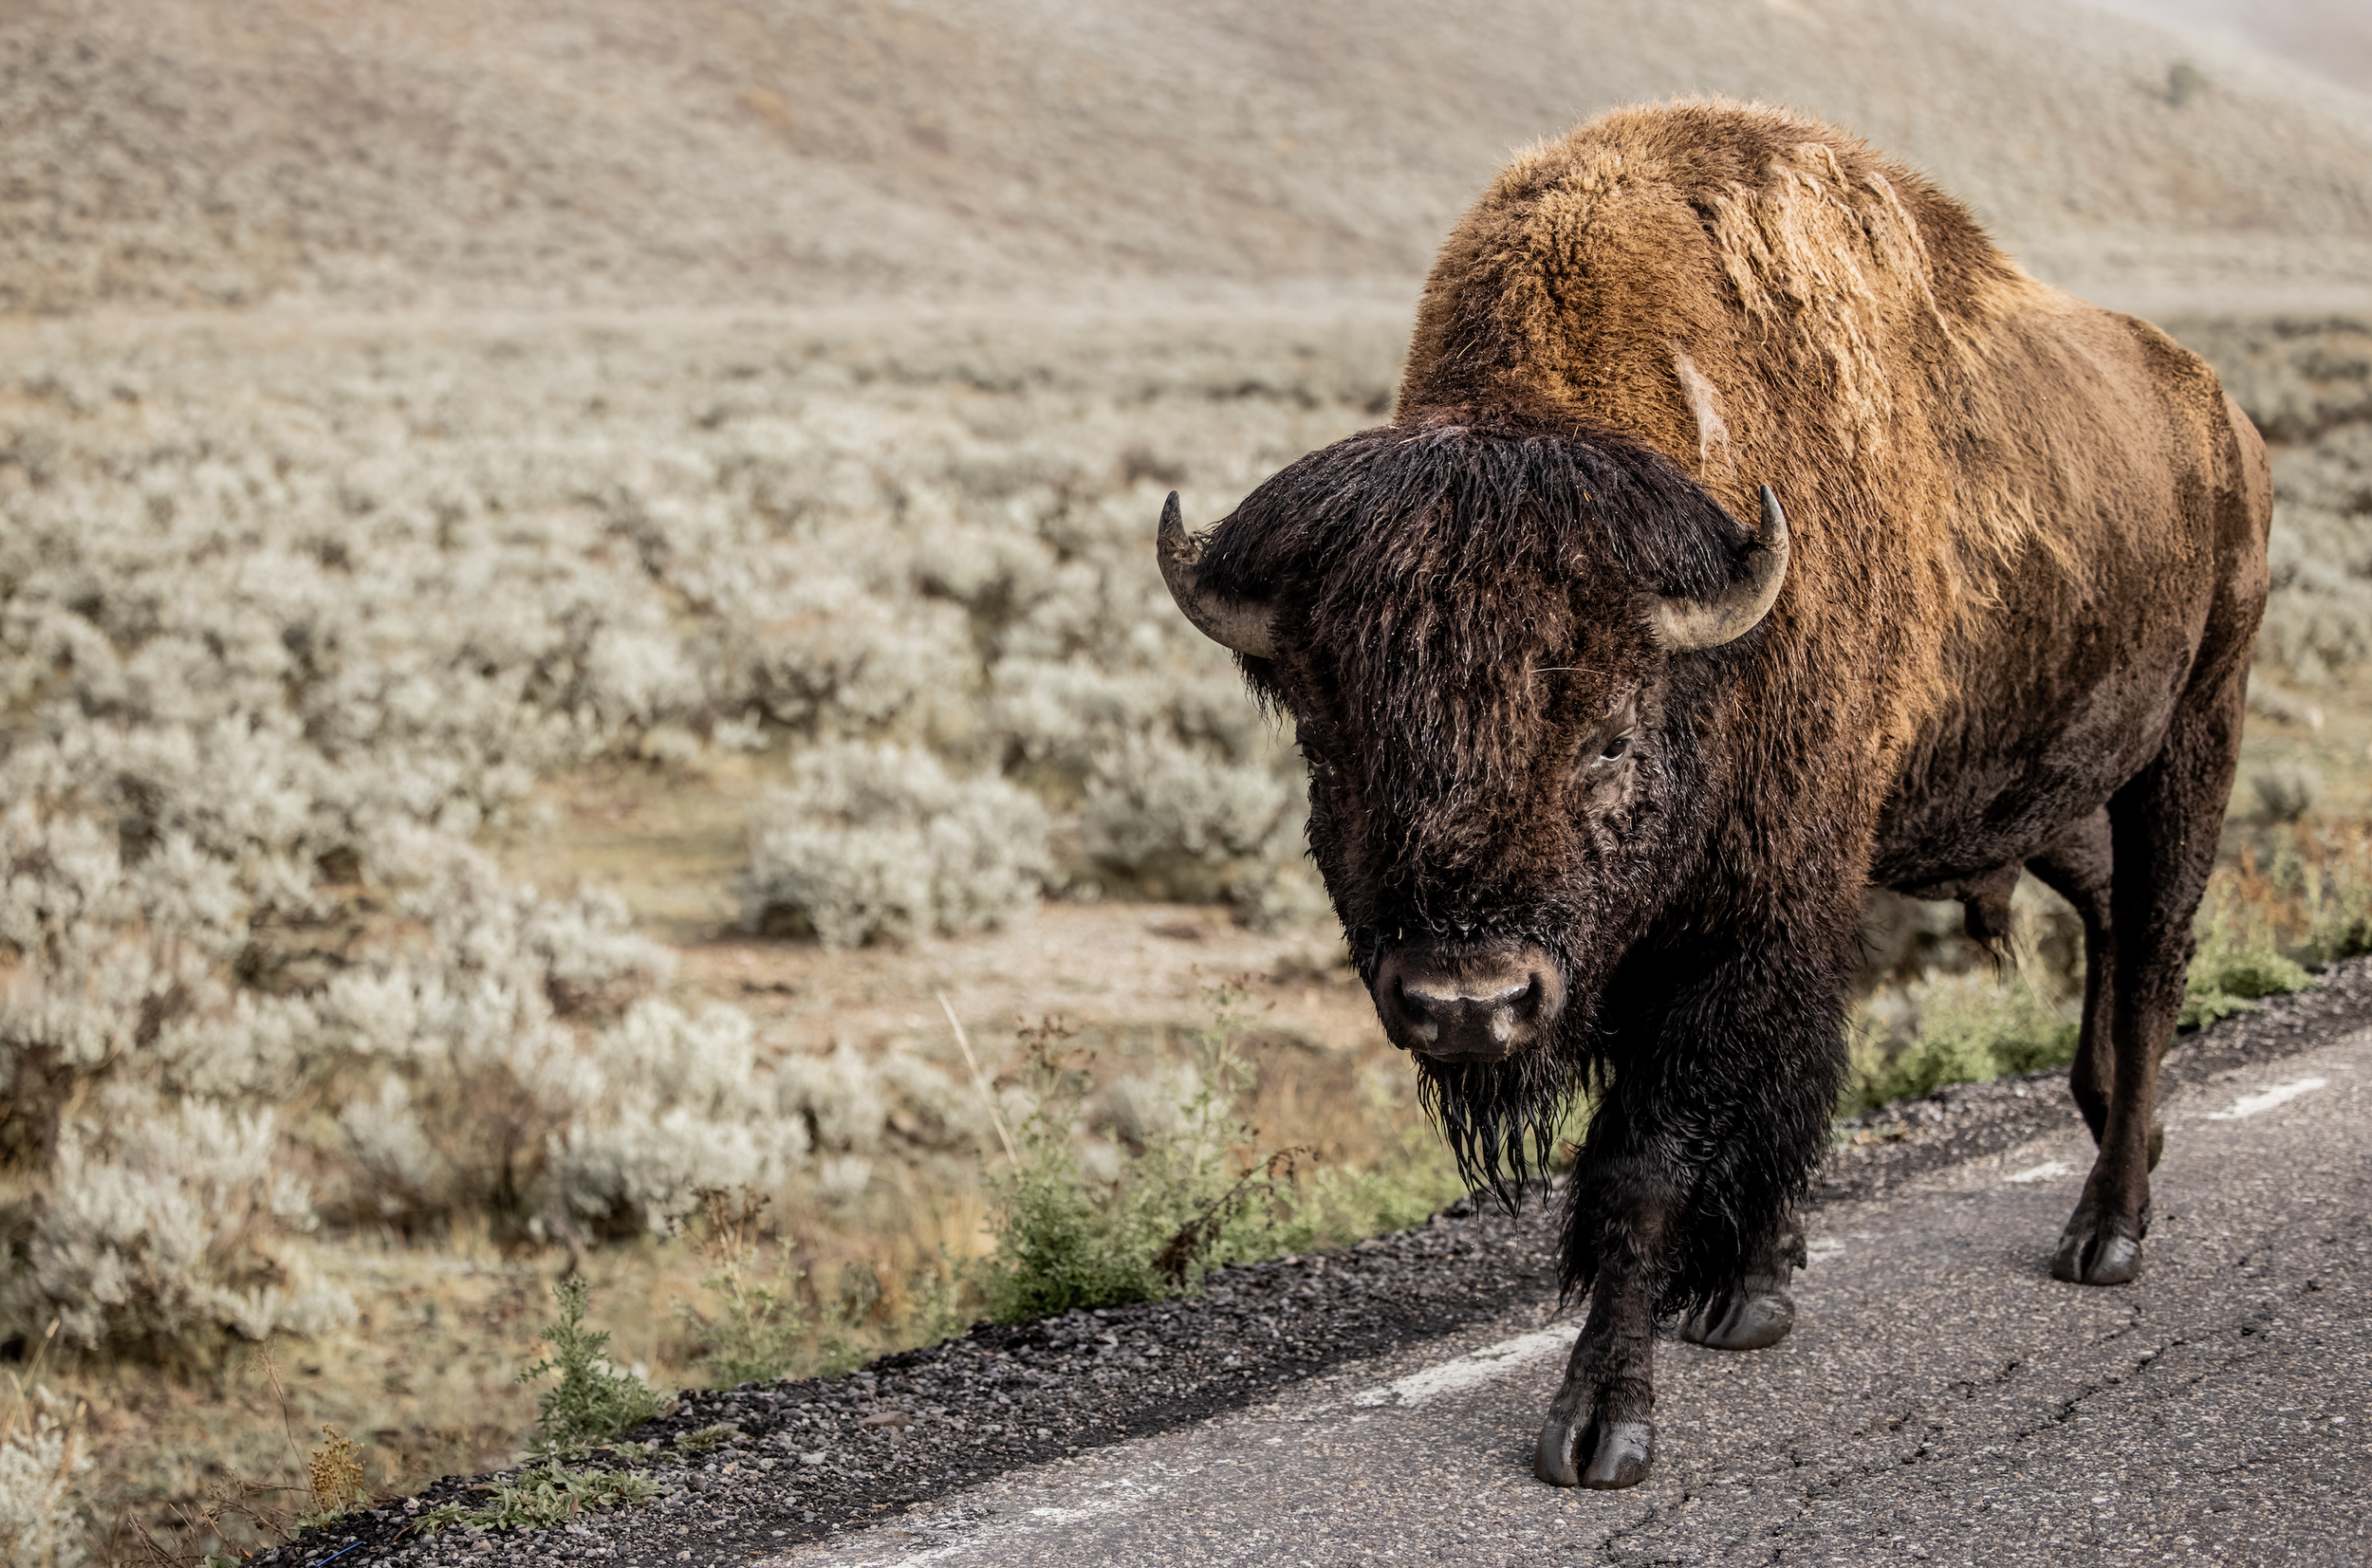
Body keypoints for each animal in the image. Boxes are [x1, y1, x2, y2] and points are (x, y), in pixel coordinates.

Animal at [1155, 101, 2270, 1488]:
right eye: (1328, 742)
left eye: (1608, 740)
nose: (1468, 1002)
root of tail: (2223, 419)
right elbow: (1781, 1095)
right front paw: (1751, 1294)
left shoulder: (1751, 920)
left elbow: (1653, 1157)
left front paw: (1601, 1423)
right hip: (2047, 786)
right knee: (2113, 918)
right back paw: (2120, 1130)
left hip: (2197, 726)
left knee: (2161, 944)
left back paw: (2106, 1232)